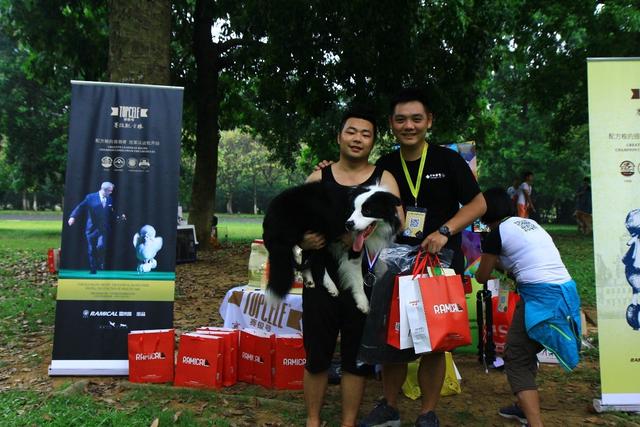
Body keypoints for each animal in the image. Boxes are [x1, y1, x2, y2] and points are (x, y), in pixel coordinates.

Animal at [262, 182, 400, 312]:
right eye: (352, 209)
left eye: (367, 211)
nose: (348, 224)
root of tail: (270, 211)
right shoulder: (353, 246)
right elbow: (357, 276)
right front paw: (363, 302)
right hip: (317, 231)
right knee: (317, 261)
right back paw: (330, 285)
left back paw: (309, 279)